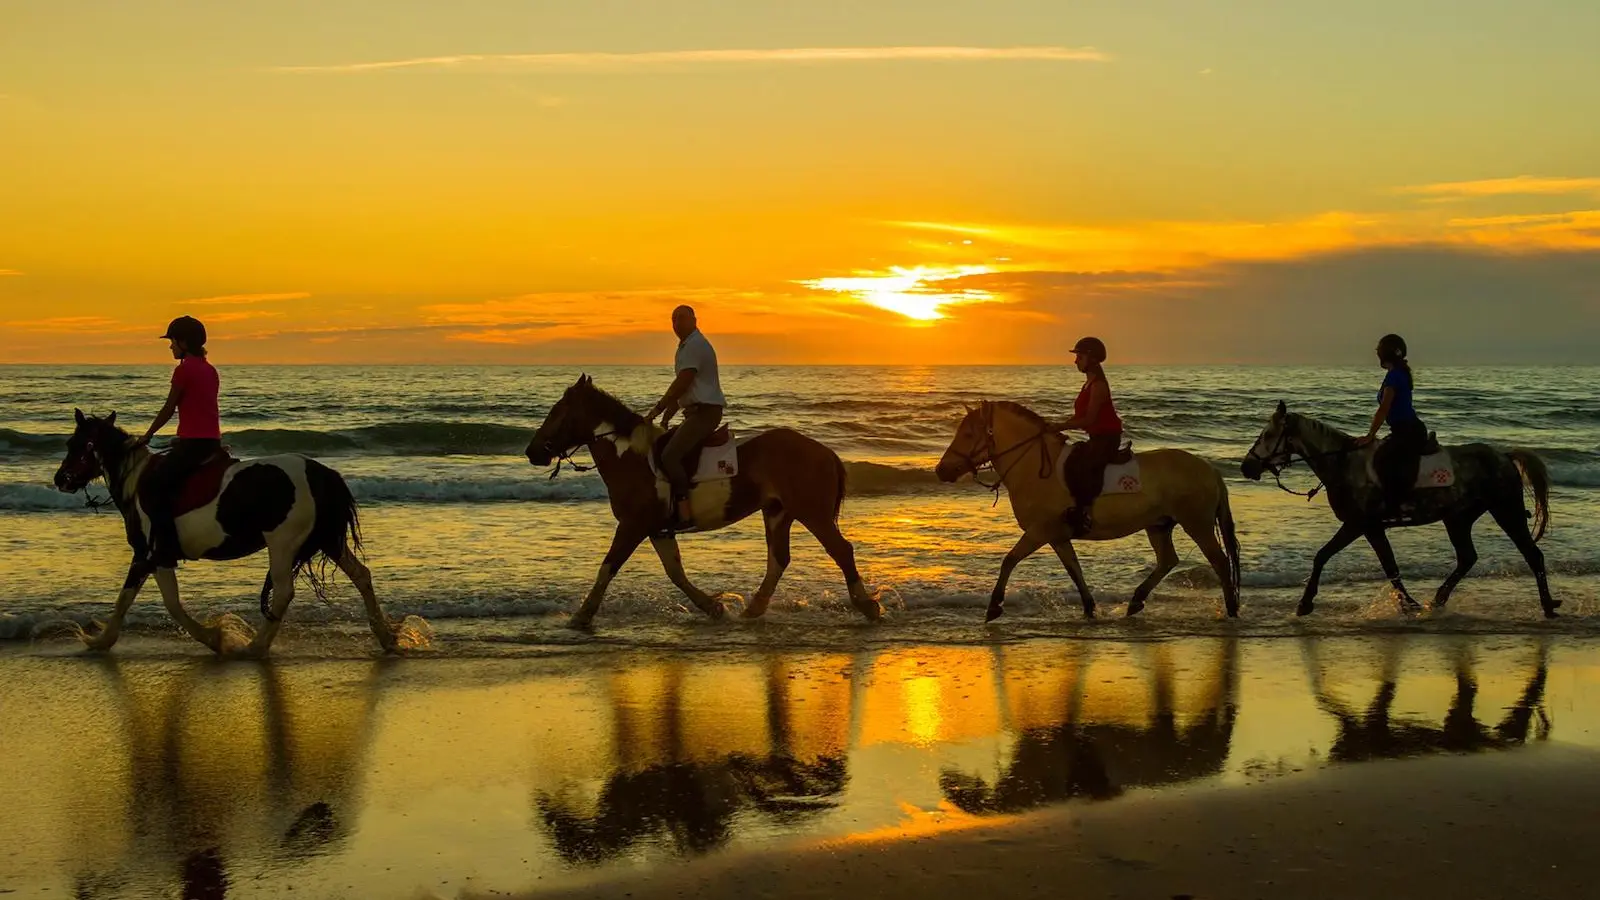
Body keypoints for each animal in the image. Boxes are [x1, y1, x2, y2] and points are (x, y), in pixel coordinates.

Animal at [54, 408, 409, 650]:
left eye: (76, 443)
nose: (60, 479)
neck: (136, 481)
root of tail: (321, 473)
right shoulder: (155, 558)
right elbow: (158, 601)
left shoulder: (150, 554)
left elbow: (146, 601)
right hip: (326, 540)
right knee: (361, 575)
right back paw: (387, 638)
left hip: (283, 543)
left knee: (284, 592)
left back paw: (256, 647)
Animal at [524, 374, 883, 627]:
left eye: (557, 412)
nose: (532, 451)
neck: (631, 457)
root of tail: (823, 451)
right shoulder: (656, 529)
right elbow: (675, 572)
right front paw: (713, 606)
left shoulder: (633, 525)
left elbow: (608, 566)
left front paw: (582, 616)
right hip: (777, 512)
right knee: (779, 559)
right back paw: (754, 609)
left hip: (812, 512)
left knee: (840, 550)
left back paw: (867, 606)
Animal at [934, 403, 1241, 621]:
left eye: (968, 434)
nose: (941, 470)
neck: (1033, 467)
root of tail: (1209, 468)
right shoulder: (1057, 536)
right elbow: (1074, 569)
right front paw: (1090, 608)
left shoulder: (1039, 531)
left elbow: (1009, 560)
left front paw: (994, 607)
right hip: (1158, 524)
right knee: (1168, 560)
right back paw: (1135, 601)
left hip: (1196, 523)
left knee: (1219, 560)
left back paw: (1231, 609)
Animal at [1241, 400, 1555, 614]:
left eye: (1267, 435)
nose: (1246, 467)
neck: (1343, 463)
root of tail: (1504, 456)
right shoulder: (1372, 528)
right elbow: (1390, 566)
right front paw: (1410, 604)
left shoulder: (1358, 525)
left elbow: (1323, 556)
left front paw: (1305, 603)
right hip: (1458, 518)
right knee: (1468, 557)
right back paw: (1438, 599)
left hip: (1506, 511)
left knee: (1533, 555)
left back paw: (1548, 606)